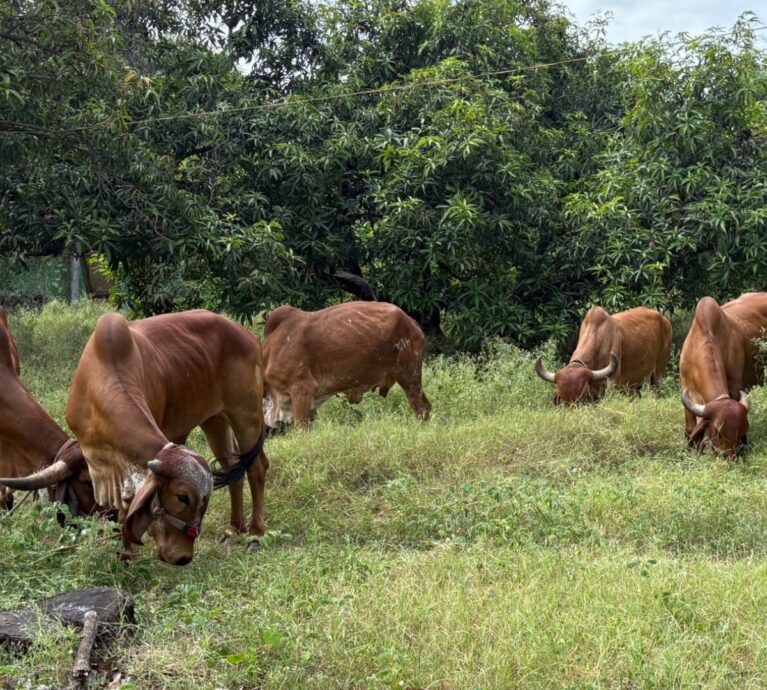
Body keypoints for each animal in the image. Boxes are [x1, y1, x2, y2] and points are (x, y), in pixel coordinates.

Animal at [13, 310, 269, 565]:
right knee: (232, 467)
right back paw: (233, 528)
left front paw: (126, 557)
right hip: (214, 419)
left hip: (246, 413)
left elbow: (126, 511)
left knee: (256, 467)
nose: (184, 557)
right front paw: (123, 555)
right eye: (182, 497)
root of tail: (249, 337)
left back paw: (255, 532)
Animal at [680, 293, 767, 458]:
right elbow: (690, 429)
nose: (728, 457)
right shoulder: (685, 386)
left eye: (741, 432)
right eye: (717, 431)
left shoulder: (734, 386)